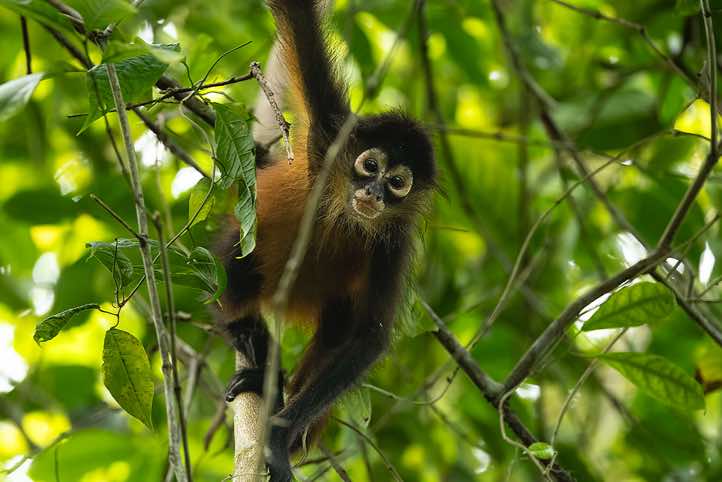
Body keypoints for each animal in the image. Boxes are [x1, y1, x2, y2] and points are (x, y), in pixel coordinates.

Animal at [215, 1, 436, 480]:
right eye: (370, 166)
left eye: (397, 183)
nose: (373, 194)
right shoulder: (326, 138)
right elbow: (297, 17)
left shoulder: (394, 240)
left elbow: (368, 337)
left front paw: (279, 437)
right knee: (239, 260)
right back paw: (251, 339)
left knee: (337, 326)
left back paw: (279, 396)